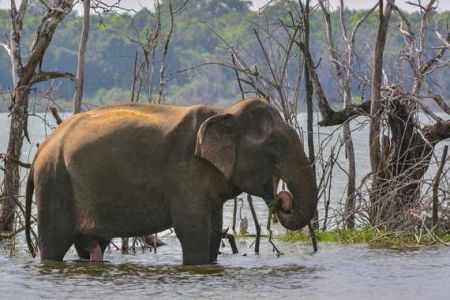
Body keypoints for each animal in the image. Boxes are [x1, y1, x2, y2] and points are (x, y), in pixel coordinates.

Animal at [25, 98, 320, 264]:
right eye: (273, 144)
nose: (282, 199)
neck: (225, 112)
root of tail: (41, 149)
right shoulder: (184, 172)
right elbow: (194, 231)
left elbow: (214, 232)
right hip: (55, 182)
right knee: (54, 242)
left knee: (91, 243)